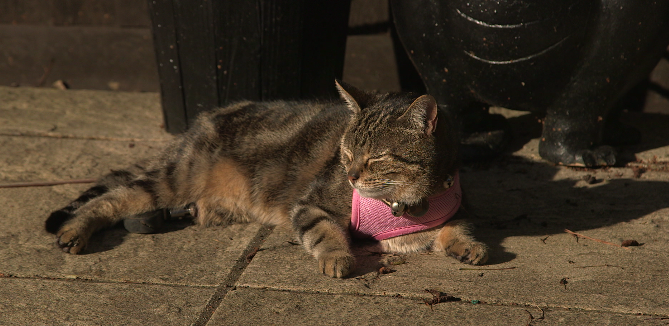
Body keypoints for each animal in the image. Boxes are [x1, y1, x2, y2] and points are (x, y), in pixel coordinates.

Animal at [45, 81, 486, 278]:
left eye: (376, 157)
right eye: (345, 153)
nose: (351, 175)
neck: (403, 205)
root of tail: (199, 122)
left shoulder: (450, 212)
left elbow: (458, 227)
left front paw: (469, 247)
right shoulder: (310, 204)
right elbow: (325, 233)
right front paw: (337, 257)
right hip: (174, 179)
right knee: (111, 198)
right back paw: (75, 230)